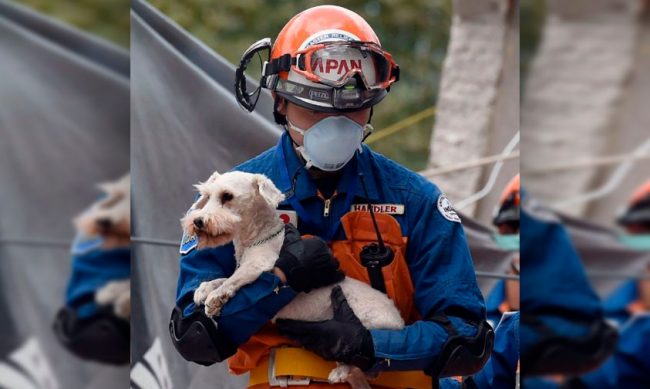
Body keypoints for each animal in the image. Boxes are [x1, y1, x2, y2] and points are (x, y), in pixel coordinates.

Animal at [182, 171, 402, 384]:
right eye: (207, 196)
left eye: (227, 196)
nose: (197, 221)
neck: (257, 237)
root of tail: (399, 322)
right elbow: (223, 278)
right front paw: (204, 289)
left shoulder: (258, 266)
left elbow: (233, 279)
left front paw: (215, 298)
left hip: (368, 329)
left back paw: (341, 371)